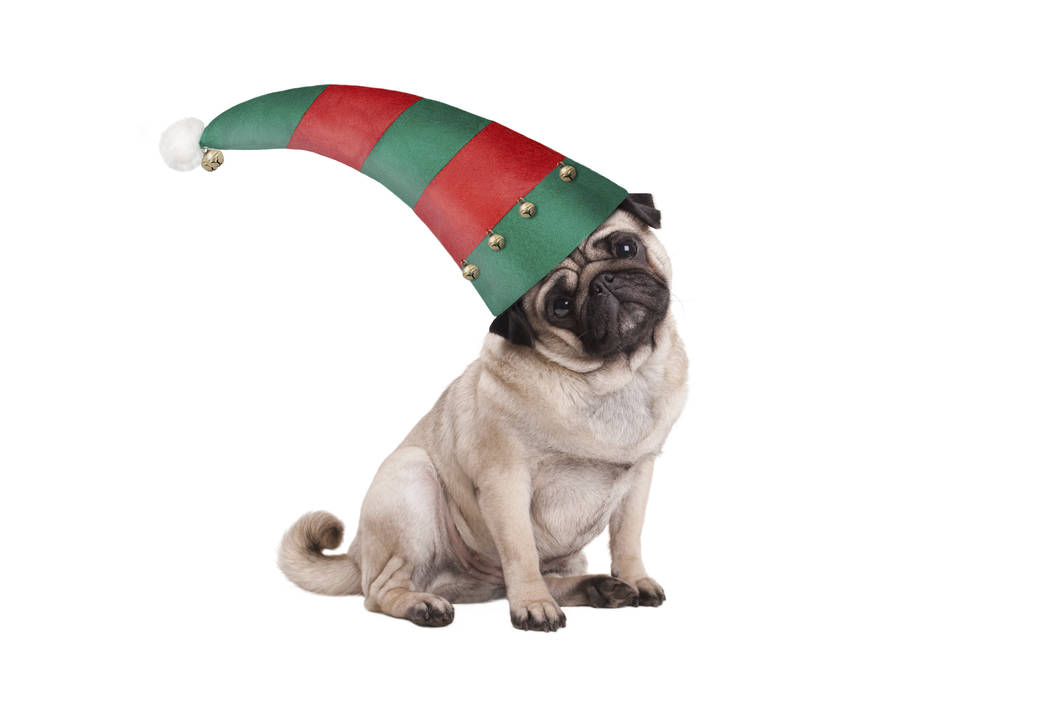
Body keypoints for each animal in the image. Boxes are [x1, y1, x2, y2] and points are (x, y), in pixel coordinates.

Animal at [279, 194, 688, 633]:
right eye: (560, 307)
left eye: (626, 248)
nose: (602, 282)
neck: (613, 380)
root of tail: (356, 554)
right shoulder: (505, 482)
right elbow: (521, 551)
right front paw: (533, 606)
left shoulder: (639, 476)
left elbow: (627, 538)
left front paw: (634, 579)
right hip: (411, 481)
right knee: (380, 591)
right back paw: (423, 605)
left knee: (532, 579)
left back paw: (598, 588)